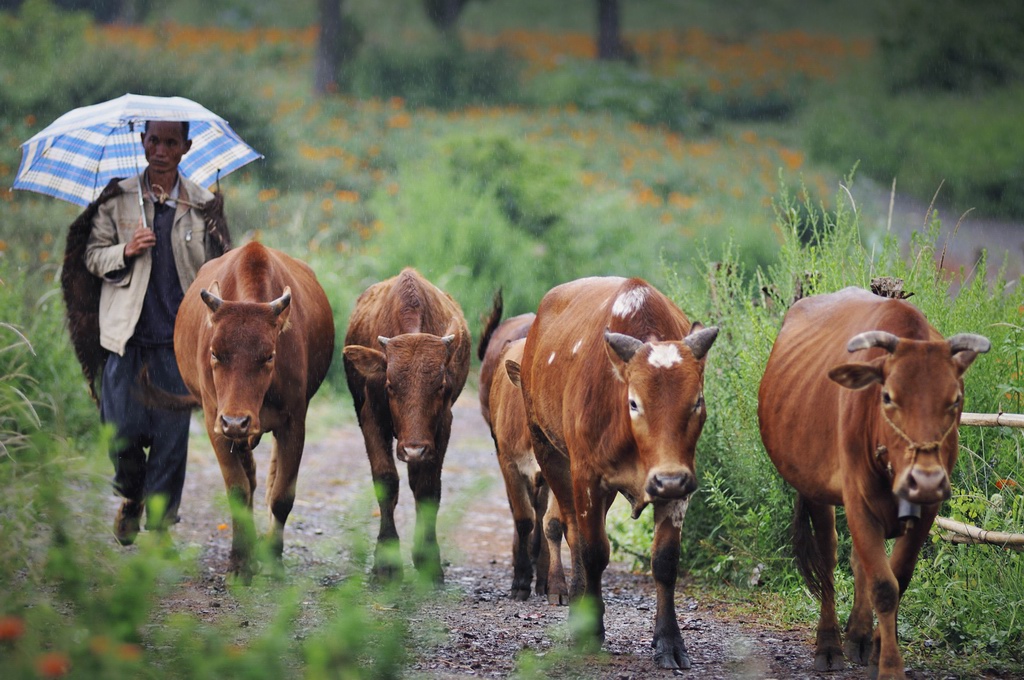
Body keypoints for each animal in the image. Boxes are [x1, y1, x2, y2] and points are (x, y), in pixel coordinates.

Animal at [174, 241, 333, 581]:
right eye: (214, 353)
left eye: (269, 355)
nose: (237, 421)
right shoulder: (215, 422)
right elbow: (238, 489)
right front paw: (239, 561)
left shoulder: (294, 422)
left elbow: (282, 494)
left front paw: (273, 558)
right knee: (250, 479)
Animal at [344, 268, 471, 581]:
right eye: (390, 384)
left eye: (440, 386)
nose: (414, 449)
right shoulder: (371, 418)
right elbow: (386, 481)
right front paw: (386, 564)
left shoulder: (441, 427)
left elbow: (427, 488)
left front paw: (428, 560)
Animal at [489, 337, 569, 602]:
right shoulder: (508, 462)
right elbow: (523, 520)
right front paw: (520, 582)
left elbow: (552, 523)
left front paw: (557, 586)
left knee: (541, 512)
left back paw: (543, 578)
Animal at [520, 278, 720, 667]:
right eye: (634, 403)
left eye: (697, 401)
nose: (668, 479)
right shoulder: (587, 478)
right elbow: (594, 551)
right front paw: (592, 631)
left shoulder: (679, 488)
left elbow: (665, 561)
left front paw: (669, 641)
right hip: (549, 452)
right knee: (573, 535)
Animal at [757, 286, 987, 680]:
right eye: (888, 396)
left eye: (955, 400)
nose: (925, 479)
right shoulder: (859, 501)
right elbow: (883, 586)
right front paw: (890, 667)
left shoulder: (928, 509)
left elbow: (899, 578)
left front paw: (879, 648)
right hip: (816, 489)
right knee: (829, 555)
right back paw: (830, 645)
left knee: (857, 560)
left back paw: (860, 637)